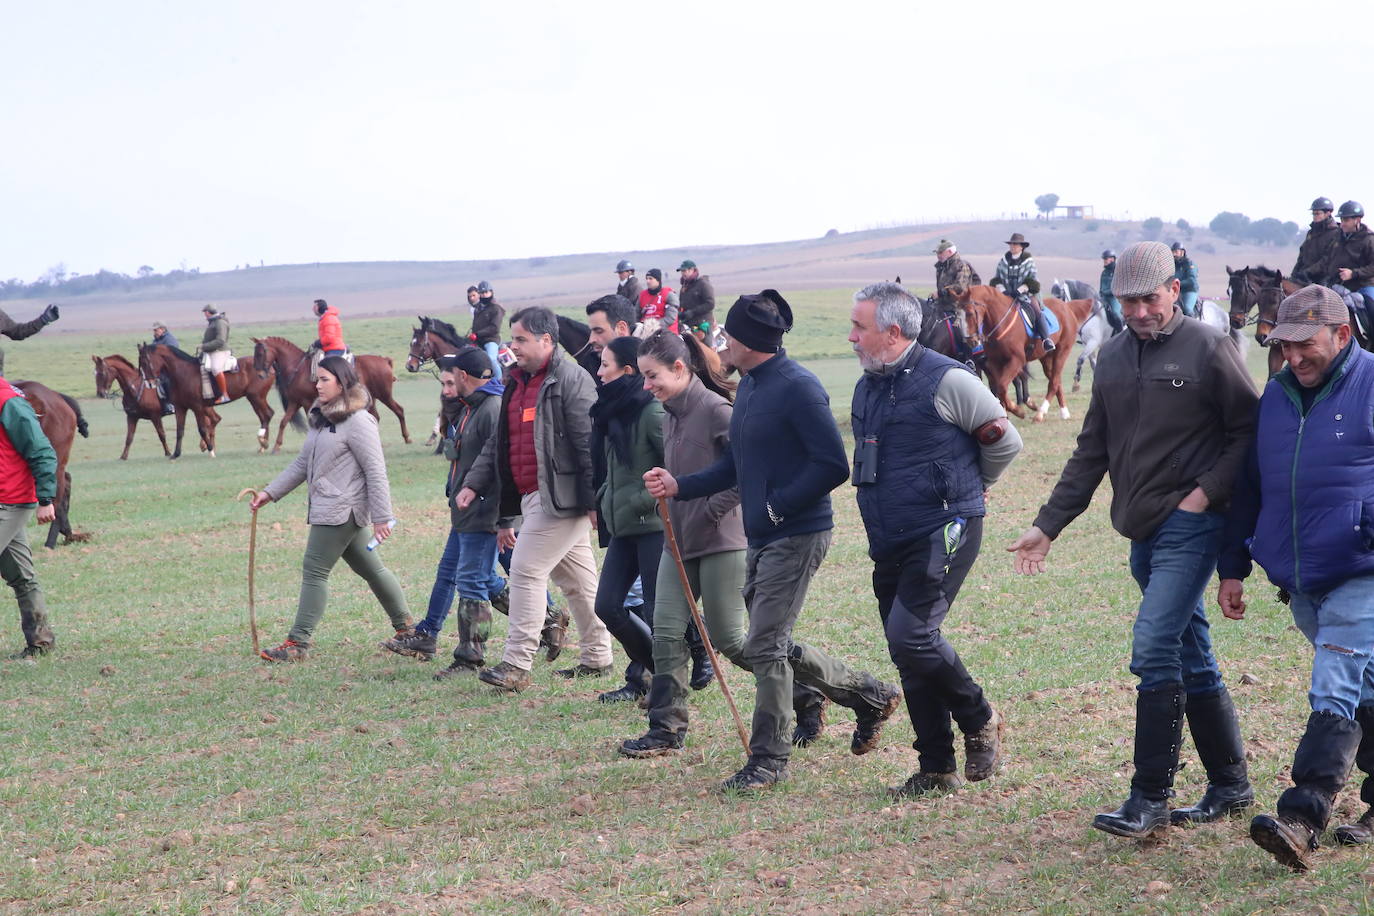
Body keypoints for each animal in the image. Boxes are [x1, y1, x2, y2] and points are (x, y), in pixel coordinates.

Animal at [11, 379, 89, 549]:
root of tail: (56, 395)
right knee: (66, 481)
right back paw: (68, 533)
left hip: (54, 460)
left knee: (58, 498)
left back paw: (50, 543)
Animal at [137, 343, 270, 458]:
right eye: (141, 363)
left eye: (145, 362)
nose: (149, 384)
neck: (183, 373)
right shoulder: (181, 408)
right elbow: (179, 431)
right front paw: (176, 454)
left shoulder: (198, 407)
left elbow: (202, 429)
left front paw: (210, 450)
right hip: (255, 399)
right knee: (265, 416)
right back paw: (263, 445)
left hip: (256, 398)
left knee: (267, 415)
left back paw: (263, 443)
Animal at [252, 336, 409, 455]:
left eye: (260, 354)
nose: (259, 375)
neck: (297, 368)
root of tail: (384, 360)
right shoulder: (294, 402)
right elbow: (284, 421)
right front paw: (275, 446)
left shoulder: (306, 402)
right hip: (372, 399)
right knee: (375, 416)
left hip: (385, 395)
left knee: (399, 410)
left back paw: (407, 438)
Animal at [956, 287, 1093, 422]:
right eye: (958, 315)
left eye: (970, 313)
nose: (970, 341)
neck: (1000, 322)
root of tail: (1066, 306)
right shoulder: (995, 363)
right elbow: (999, 388)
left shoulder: (1016, 361)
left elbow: (1002, 386)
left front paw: (1018, 411)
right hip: (1046, 358)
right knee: (1056, 380)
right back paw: (1064, 412)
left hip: (1062, 351)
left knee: (1054, 382)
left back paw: (1040, 414)